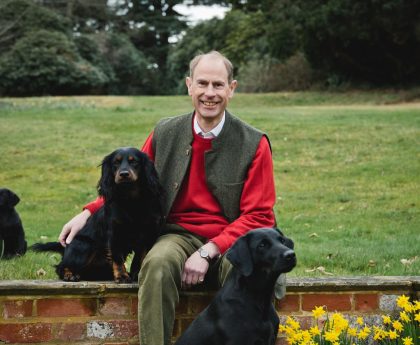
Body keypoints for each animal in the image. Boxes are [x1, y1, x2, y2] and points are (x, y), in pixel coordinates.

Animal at [31, 146, 164, 280]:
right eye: (116, 162)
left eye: (134, 161)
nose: (124, 174)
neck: (131, 200)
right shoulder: (115, 233)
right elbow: (117, 257)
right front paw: (122, 276)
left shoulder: (147, 233)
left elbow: (140, 258)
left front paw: (136, 275)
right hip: (84, 245)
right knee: (61, 266)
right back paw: (70, 275)